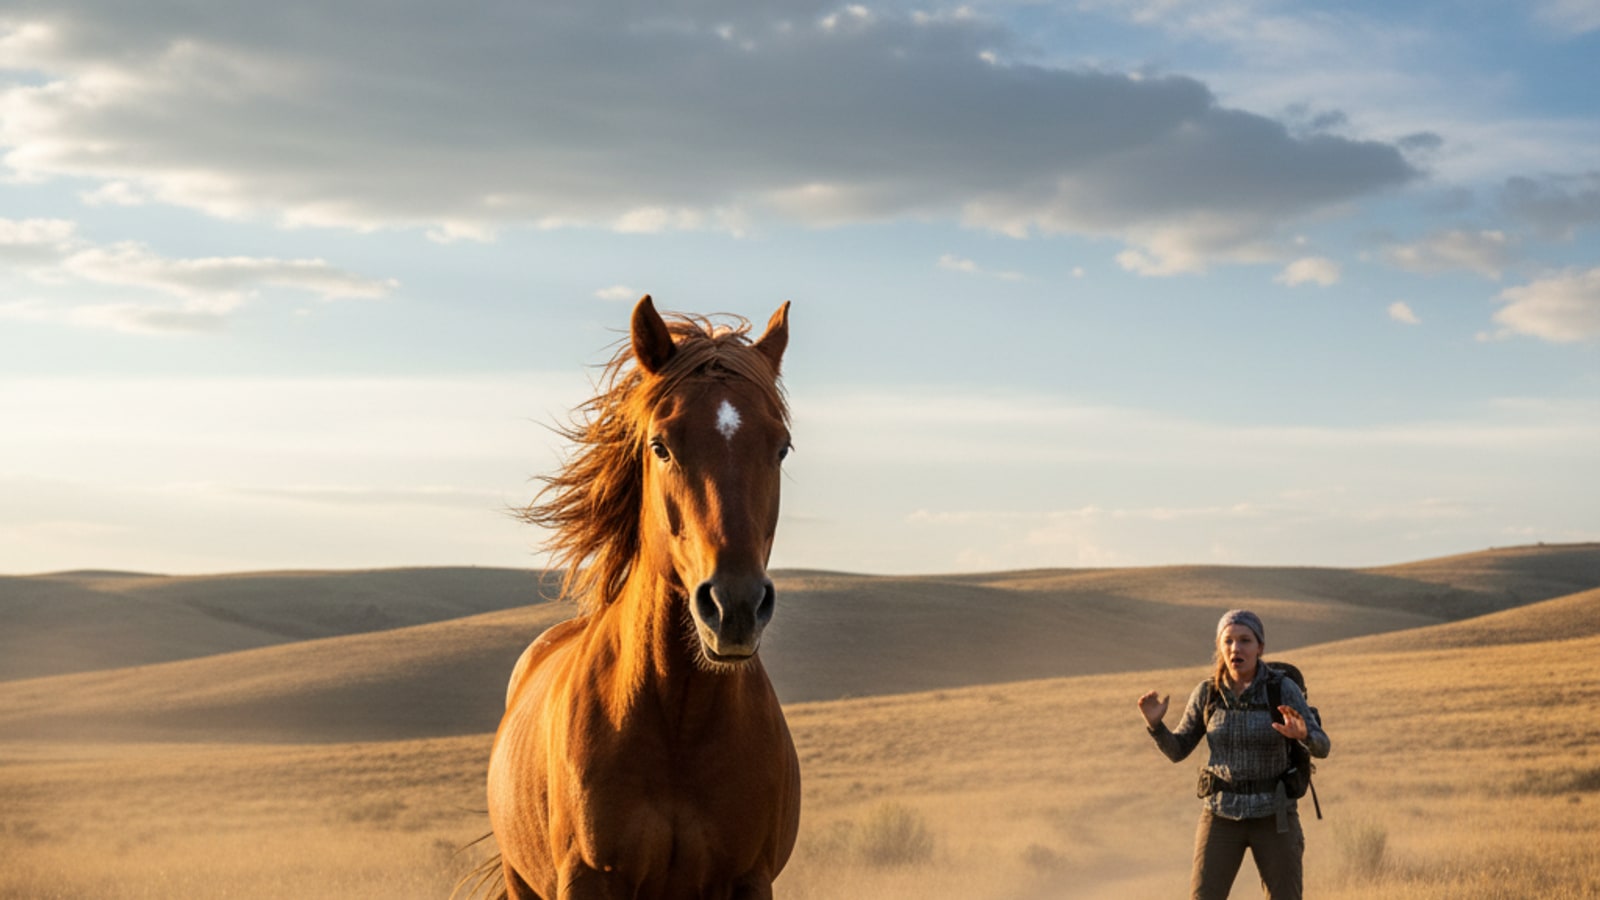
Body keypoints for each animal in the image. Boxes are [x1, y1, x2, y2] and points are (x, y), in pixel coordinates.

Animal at [484, 295, 801, 900]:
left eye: (781, 448)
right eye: (661, 446)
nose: (734, 607)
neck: (677, 717)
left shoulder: (749, 879)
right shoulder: (586, 878)